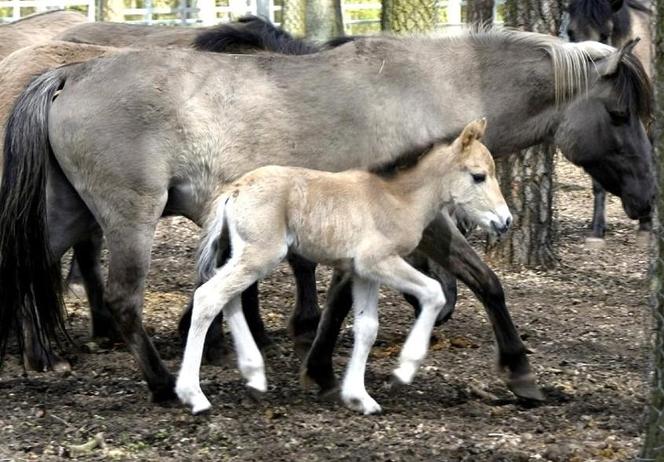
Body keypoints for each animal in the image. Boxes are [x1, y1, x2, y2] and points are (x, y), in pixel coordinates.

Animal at [174, 119, 510, 416]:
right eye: (479, 176)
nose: (505, 221)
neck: (396, 198)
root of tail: (235, 190)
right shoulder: (379, 262)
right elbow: (433, 293)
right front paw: (404, 370)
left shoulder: (364, 273)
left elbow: (367, 328)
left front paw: (359, 398)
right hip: (259, 256)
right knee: (209, 297)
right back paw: (194, 395)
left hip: (243, 256)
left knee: (228, 298)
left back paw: (254, 376)